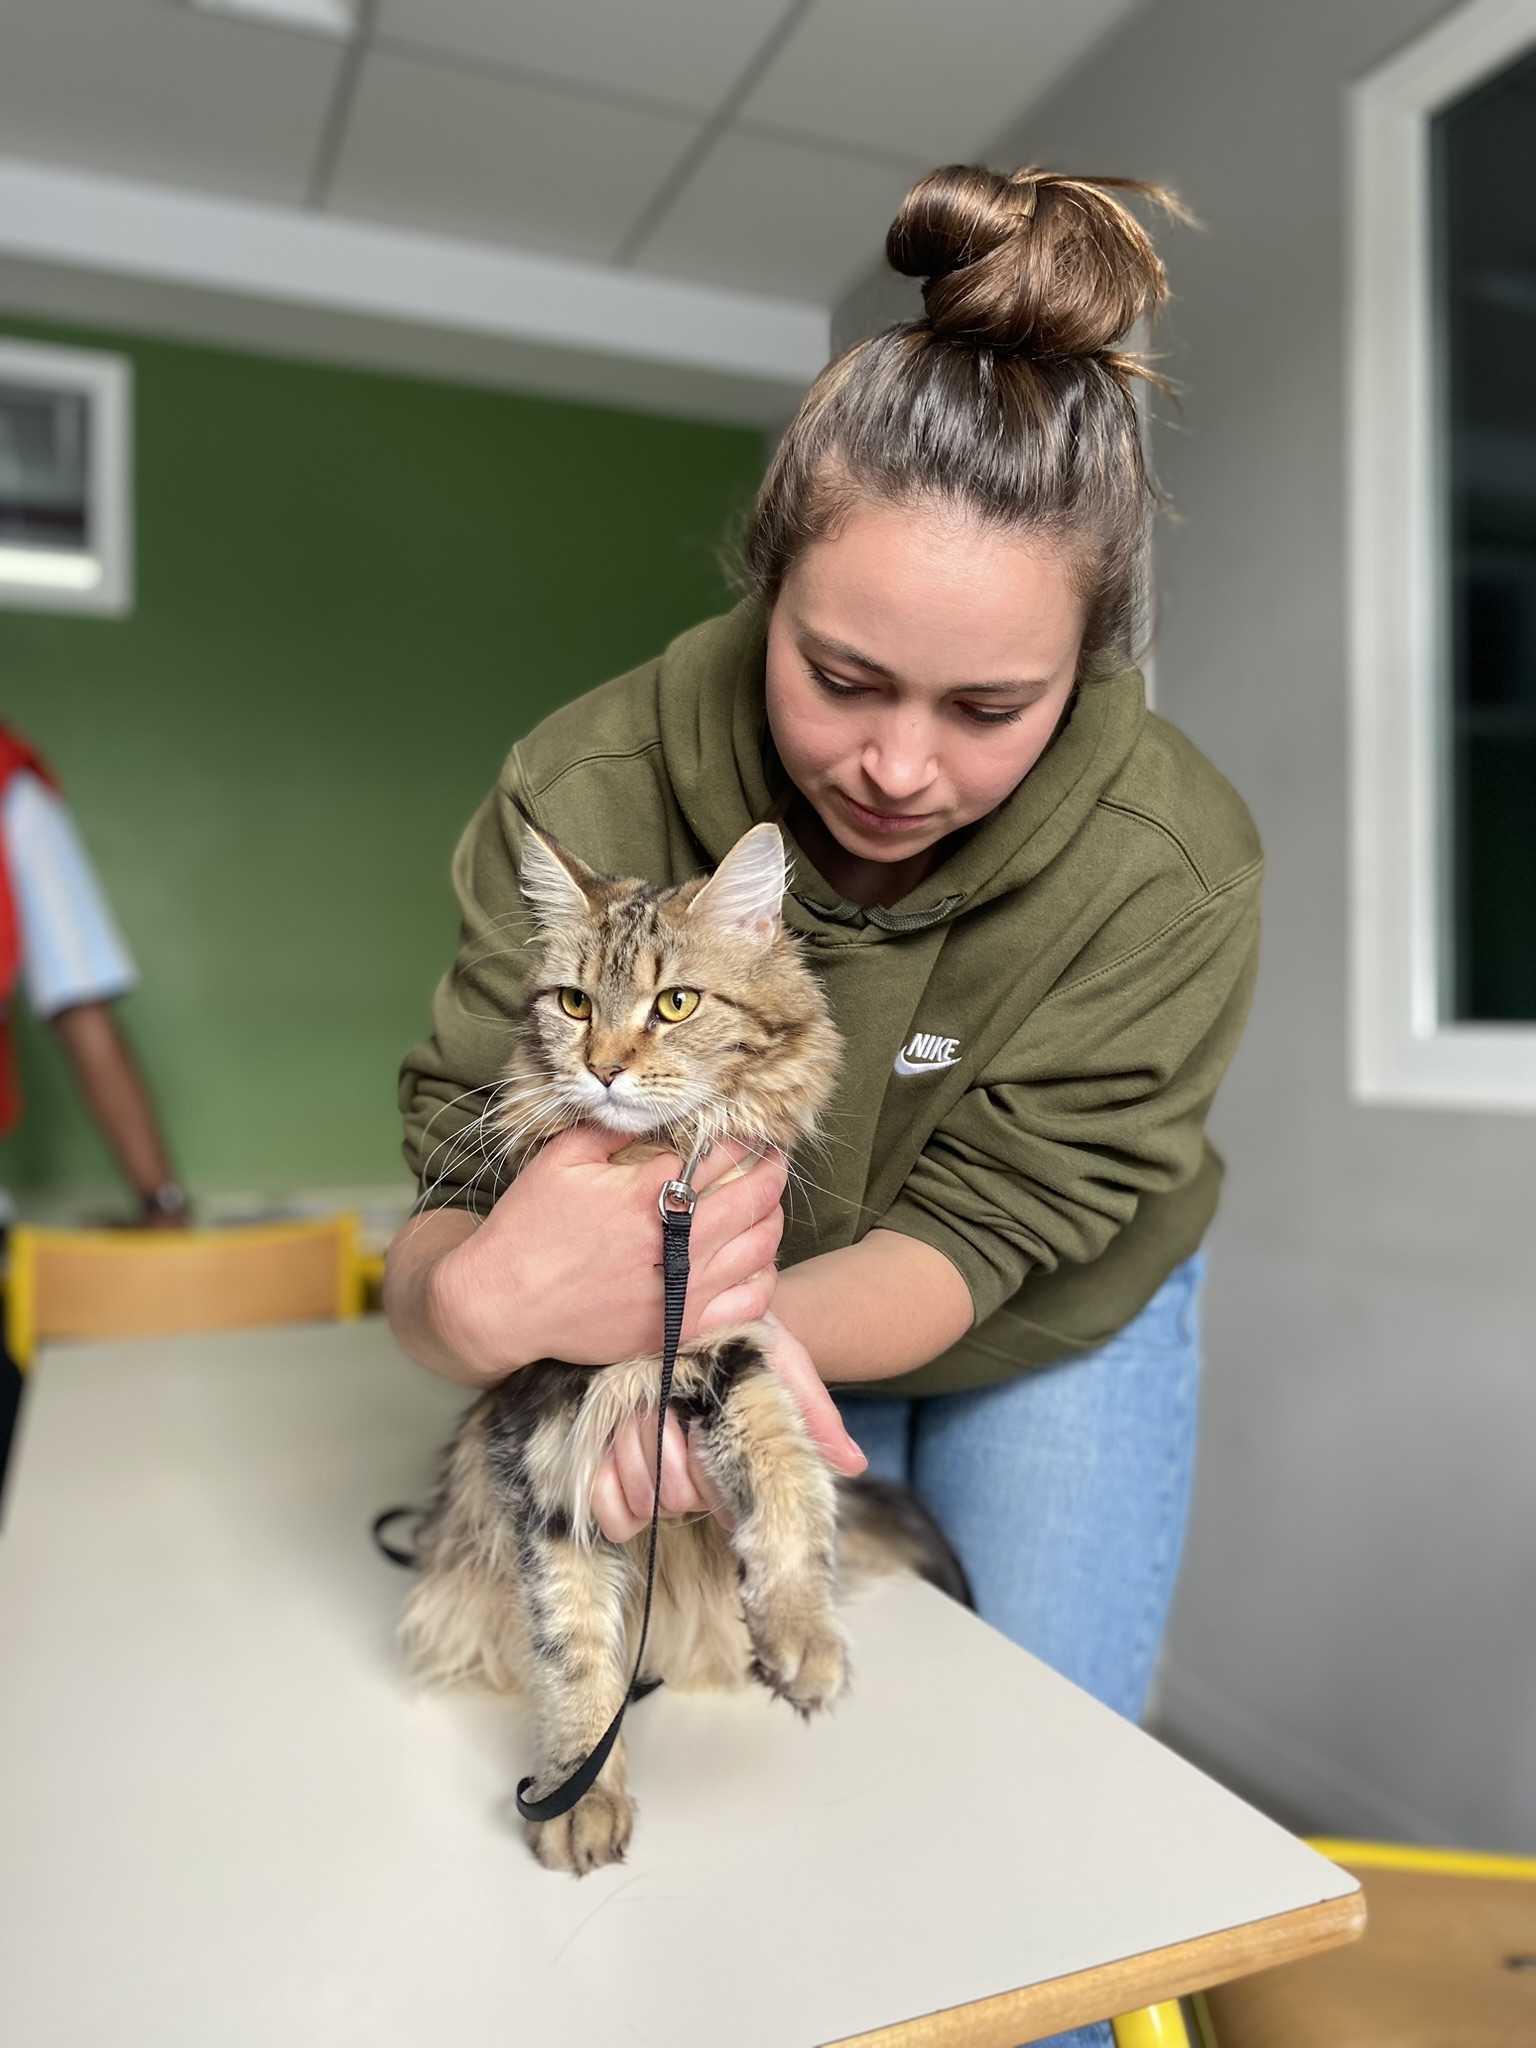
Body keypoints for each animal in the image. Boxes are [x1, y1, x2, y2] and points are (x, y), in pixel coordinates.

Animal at [403, 815, 966, 1875]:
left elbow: (788, 1469)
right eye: (575, 1002)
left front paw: (801, 1635)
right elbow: (573, 1641)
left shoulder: (726, 1339)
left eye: (675, 1004)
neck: (656, 1171)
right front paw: (578, 1792)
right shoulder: (542, 1448)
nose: (605, 1068)